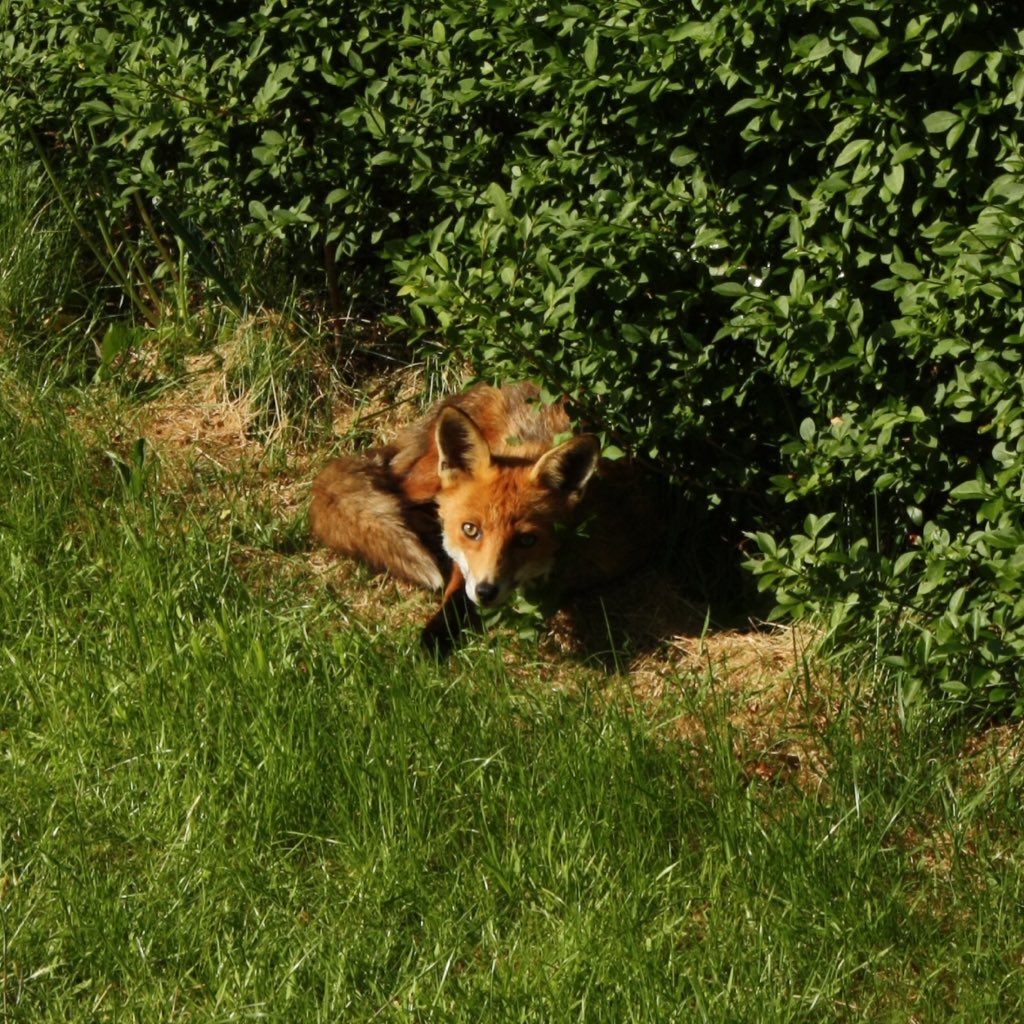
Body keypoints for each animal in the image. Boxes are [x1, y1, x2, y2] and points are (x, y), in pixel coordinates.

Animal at [309, 382, 662, 649]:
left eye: (526, 540)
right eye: (471, 530)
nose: (486, 591)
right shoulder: (464, 562)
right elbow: (455, 591)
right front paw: (435, 636)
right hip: (425, 481)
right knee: (397, 493)